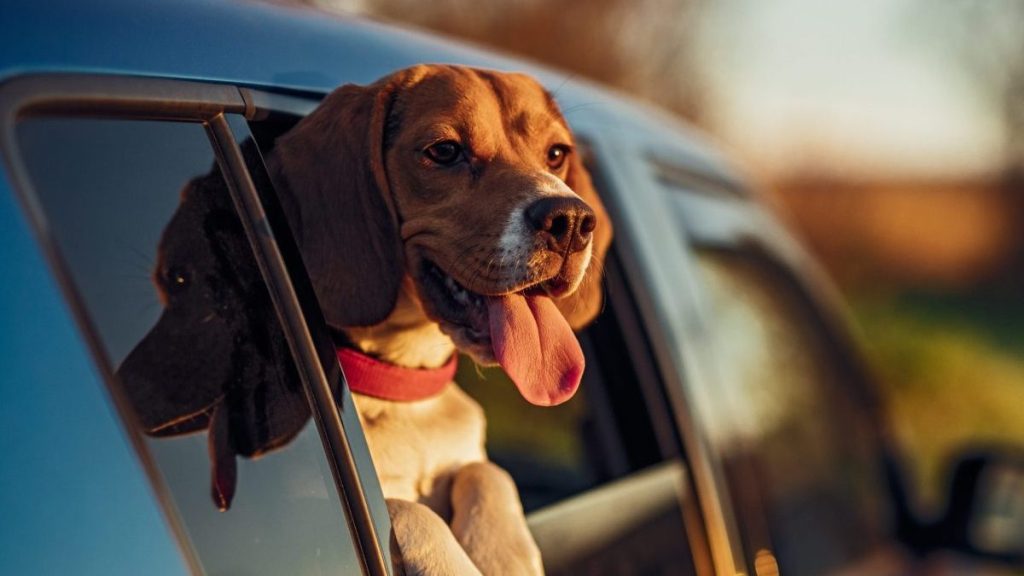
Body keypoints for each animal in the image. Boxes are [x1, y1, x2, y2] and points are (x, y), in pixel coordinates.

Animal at [268, 65, 610, 569]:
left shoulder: (474, 461)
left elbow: (488, 474)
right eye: (445, 151)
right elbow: (406, 507)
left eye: (556, 154)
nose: (570, 221)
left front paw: (502, 553)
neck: (406, 388)